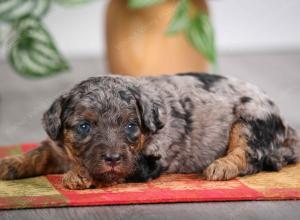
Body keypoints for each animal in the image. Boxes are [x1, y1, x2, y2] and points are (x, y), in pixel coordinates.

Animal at [0, 72, 300, 189]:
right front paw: (9, 163)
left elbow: (114, 172)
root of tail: (286, 127)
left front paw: (79, 175)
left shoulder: (147, 161)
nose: (112, 157)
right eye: (84, 126)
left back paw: (222, 166)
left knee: (250, 156)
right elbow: (37, 154)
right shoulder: (57, 146)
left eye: (131, 126)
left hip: (251, 119)